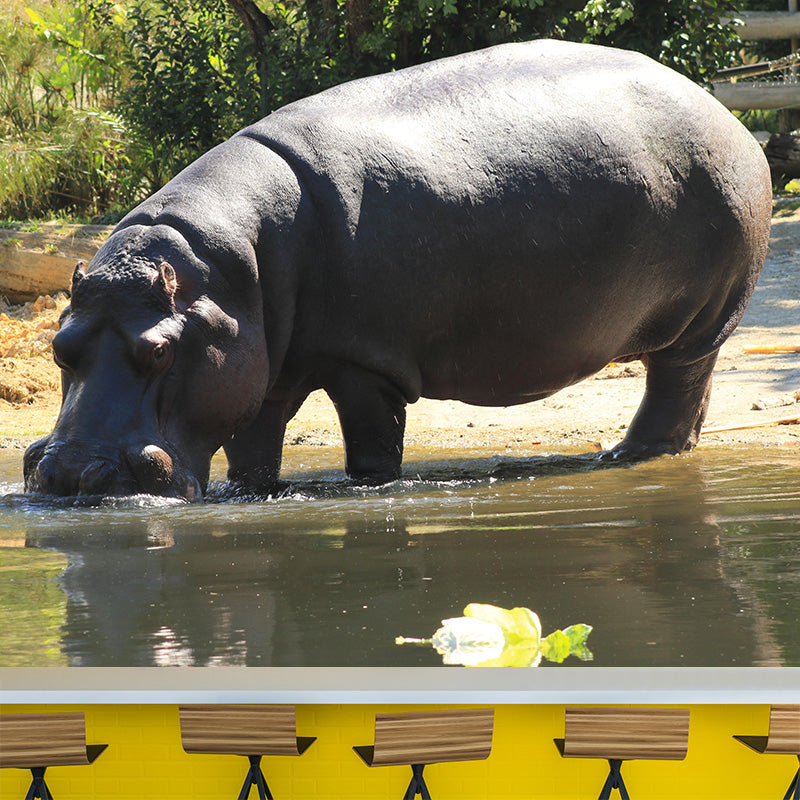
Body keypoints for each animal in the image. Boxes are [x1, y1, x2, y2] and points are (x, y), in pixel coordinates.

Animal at [24, 39, 772, 500]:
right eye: (59, 347)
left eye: (160, 351)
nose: (68, 475)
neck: (222, 272)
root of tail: (723, 109)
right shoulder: (260, 362)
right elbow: (251, 446)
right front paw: (256, 492)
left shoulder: (365, 363)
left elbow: (372, 445)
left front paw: (368, 489)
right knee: (691, 393)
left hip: (703, 316)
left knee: (675, 382)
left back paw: (627, 456)